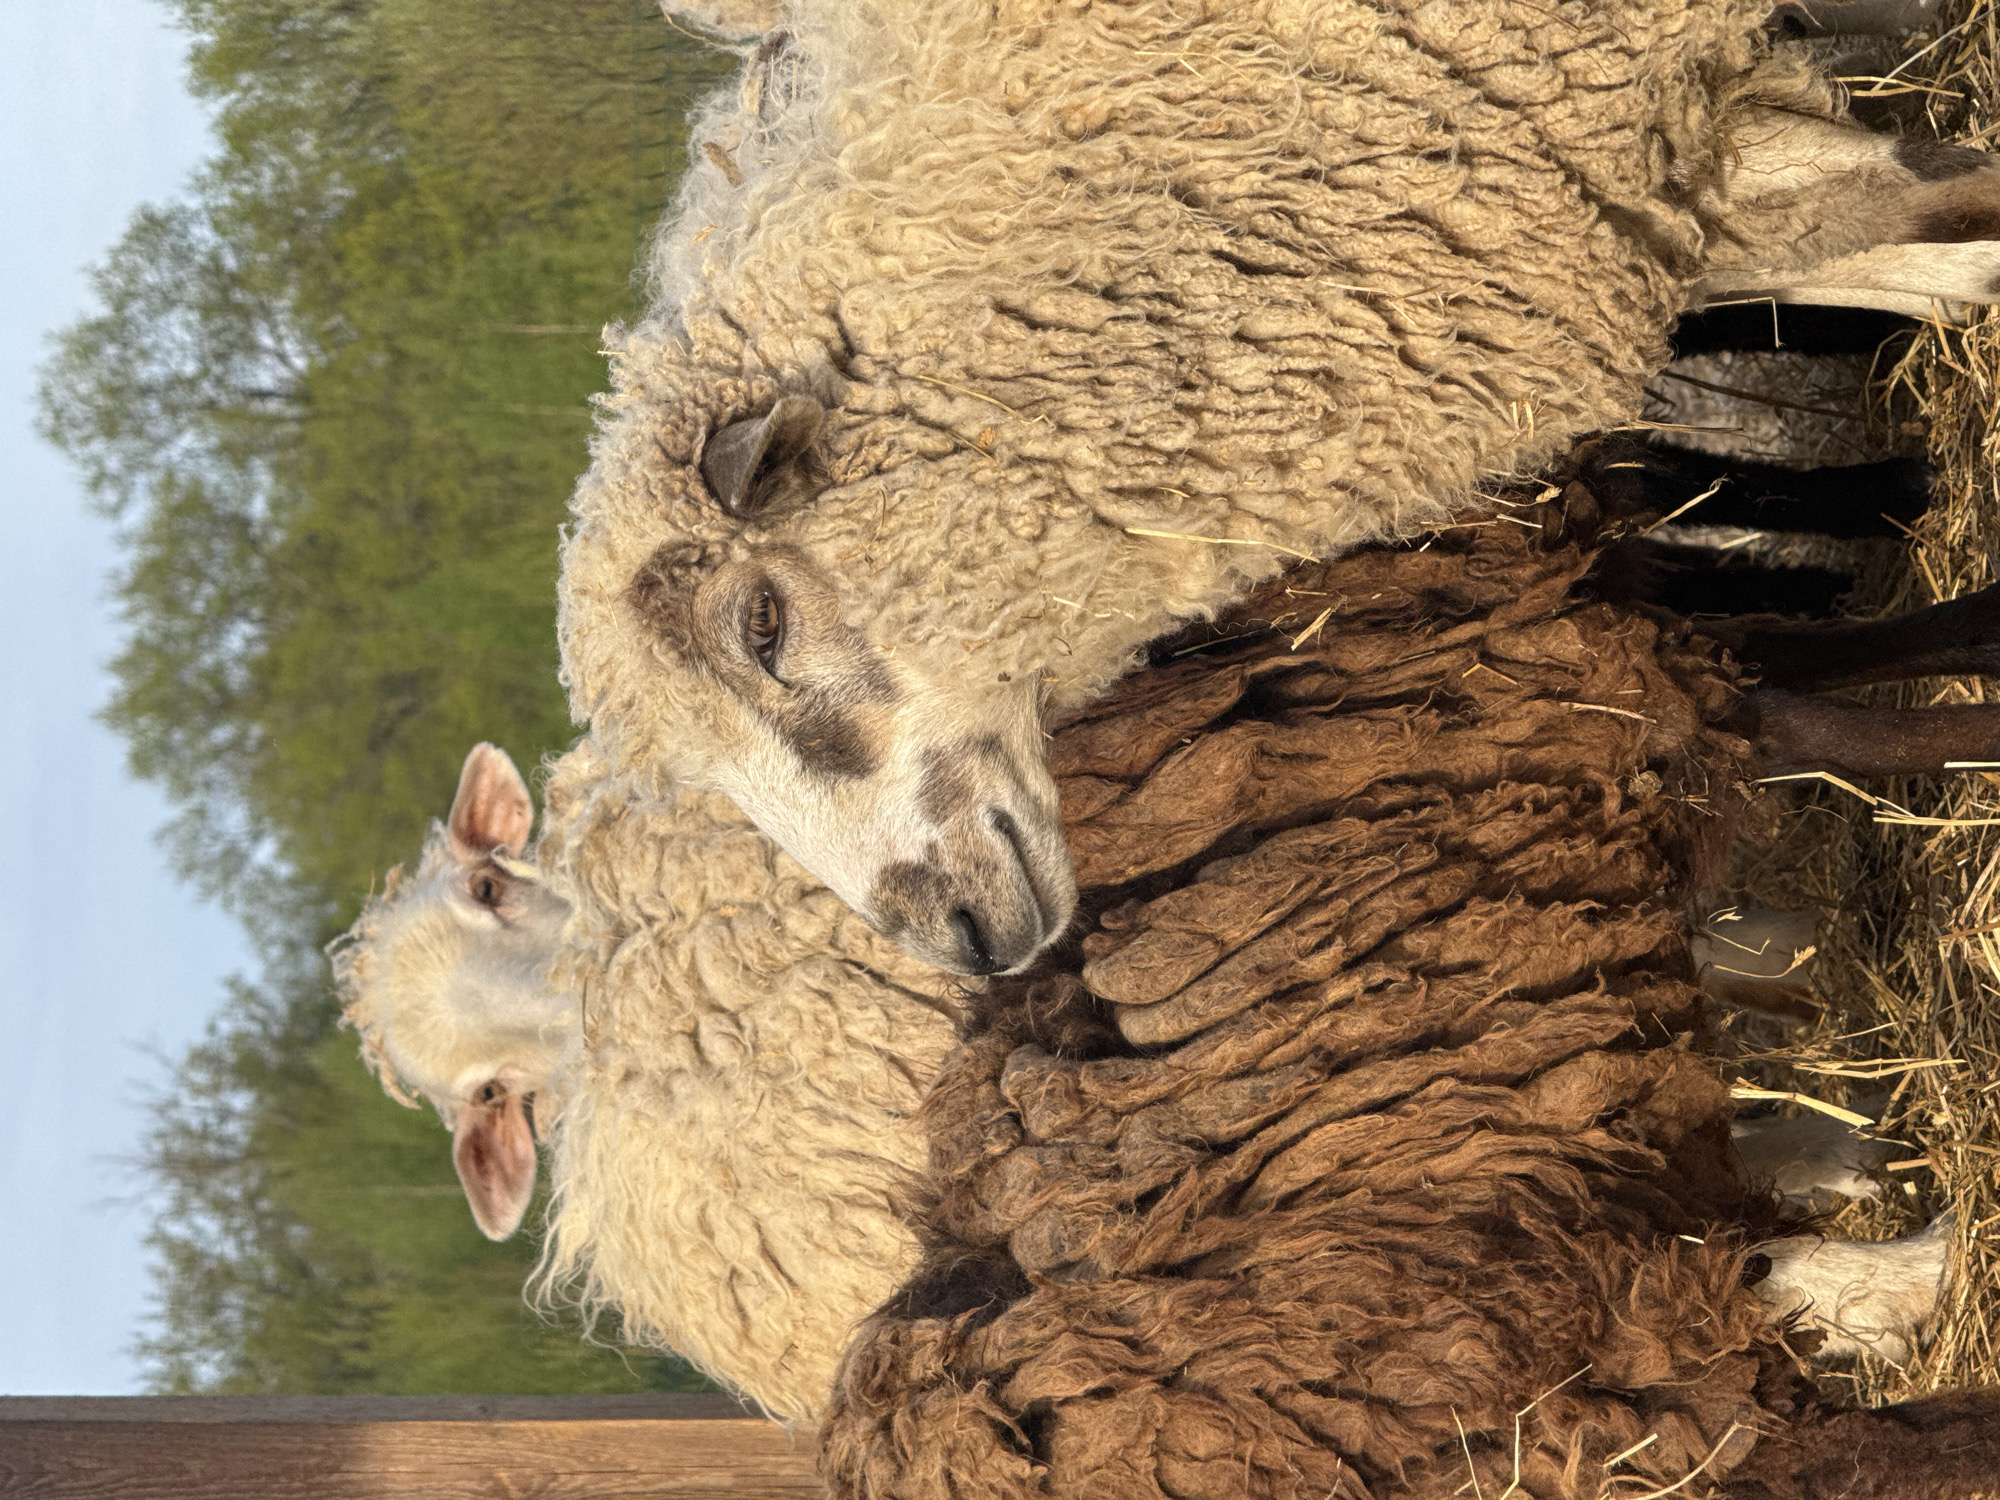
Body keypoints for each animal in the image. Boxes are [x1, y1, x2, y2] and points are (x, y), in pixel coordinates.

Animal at [817, 454, 2000, 1499]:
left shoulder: (1649, 654)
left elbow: (1869, 645)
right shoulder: (1638, 696)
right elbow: (1906, 714)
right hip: (1545, 1376)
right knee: (1872, 1448)